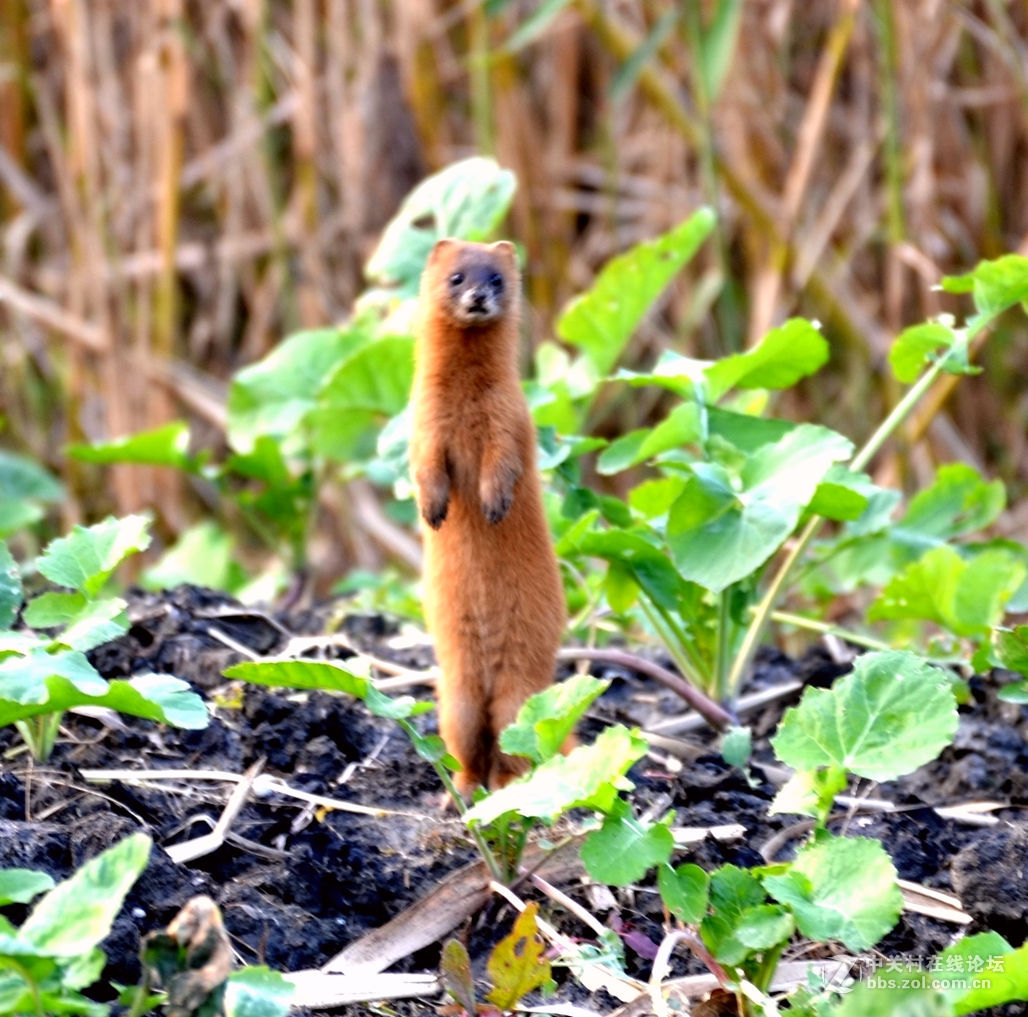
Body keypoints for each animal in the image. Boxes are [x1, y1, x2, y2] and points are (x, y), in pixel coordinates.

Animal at [409, 238, 567, 793]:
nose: (479, 295)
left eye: (496, 278)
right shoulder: (423, 425)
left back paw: (507, 790)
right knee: (468, 747)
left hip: (522, 696)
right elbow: (424, 466)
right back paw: (459, 790)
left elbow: (504, 462)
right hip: (454, 697)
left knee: (516, 749)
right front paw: (434, 507)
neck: (463, 407)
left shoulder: (510, 420)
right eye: (457, 276)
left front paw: (494, 502)